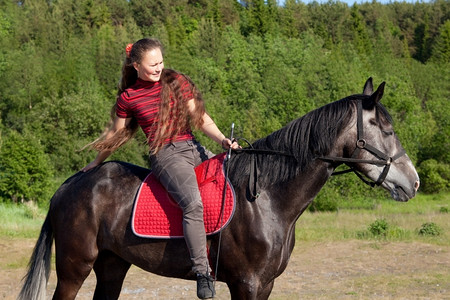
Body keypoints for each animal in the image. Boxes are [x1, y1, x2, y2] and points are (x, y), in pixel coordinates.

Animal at [17, 78, 418, 298]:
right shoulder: (247, 284)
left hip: (112, 265)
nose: (413, 181)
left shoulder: (265, 285)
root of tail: (70, 184)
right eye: (385, 129)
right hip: (74, 267)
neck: (267, 199)